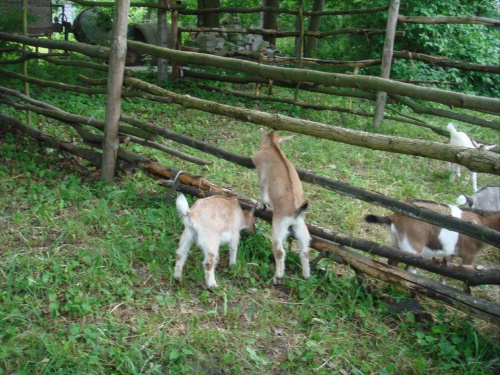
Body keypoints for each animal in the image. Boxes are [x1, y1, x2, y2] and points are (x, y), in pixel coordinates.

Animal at [252, 129, 310, 284]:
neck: (273, 147)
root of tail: (295, 212)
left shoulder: (262, 176)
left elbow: (262, 191)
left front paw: (262, 206)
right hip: (302, 229)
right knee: (305, 251)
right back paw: (306, 275)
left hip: (279, 227)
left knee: (279, 251)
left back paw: (277, 277)